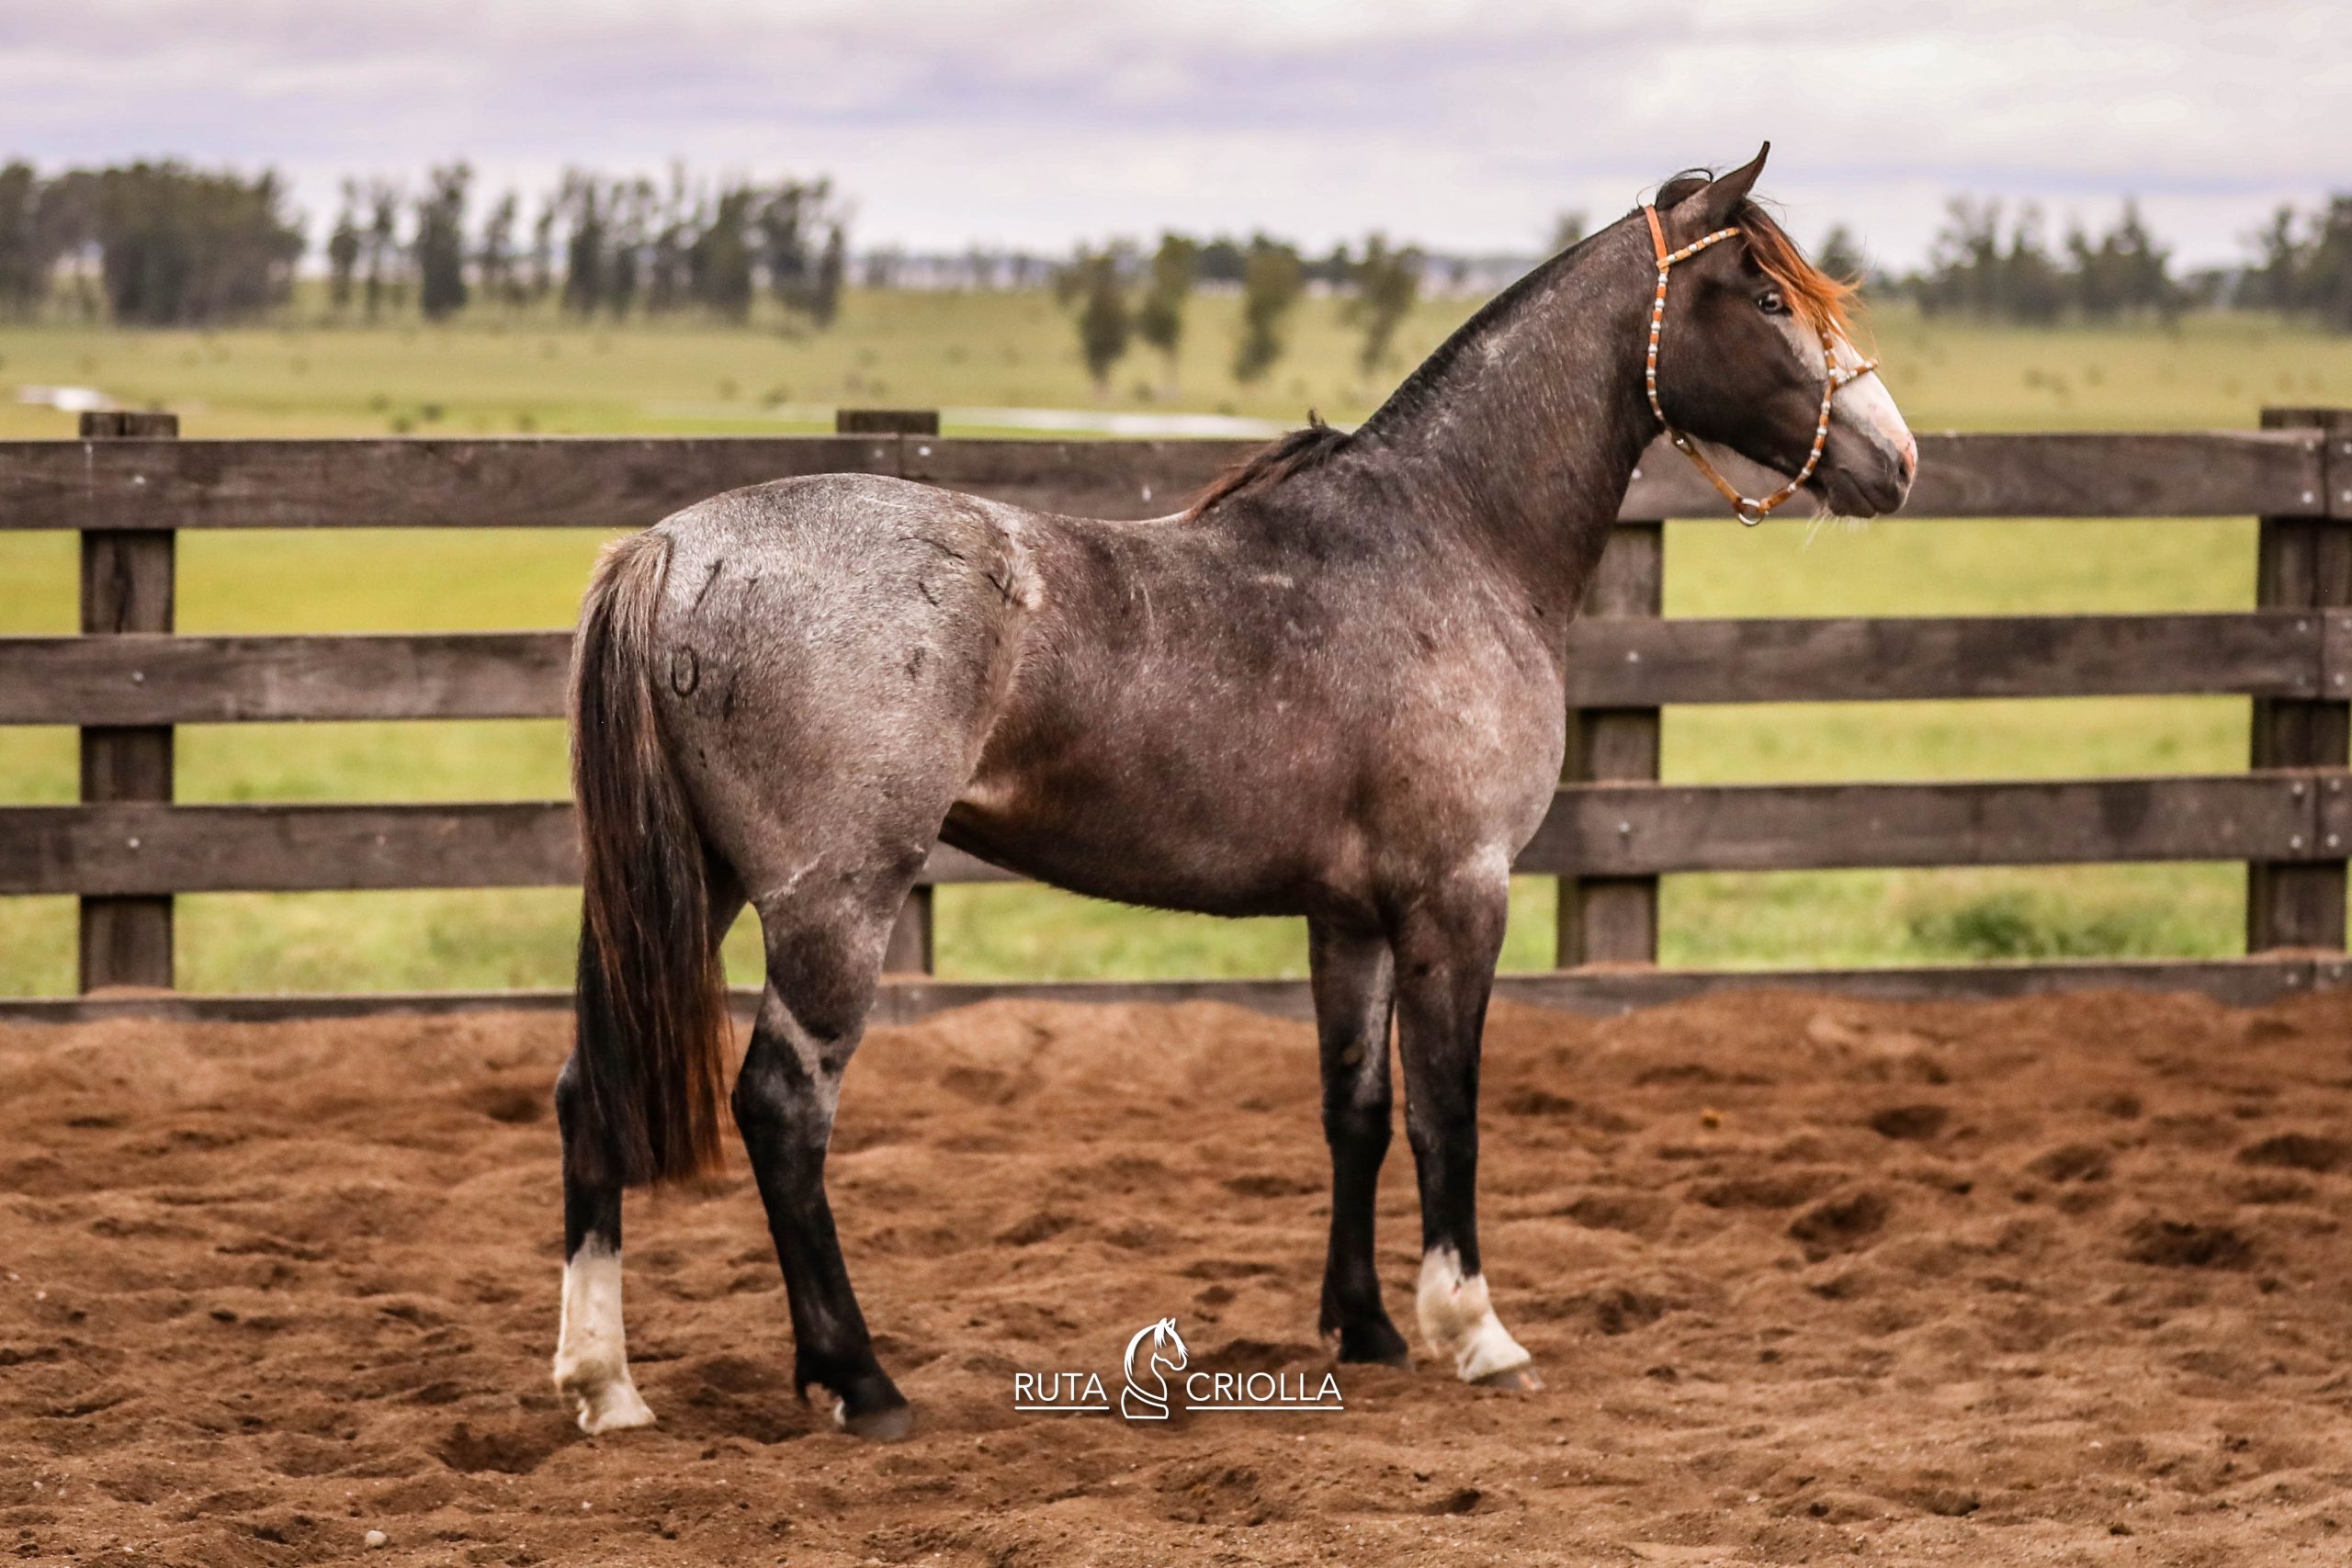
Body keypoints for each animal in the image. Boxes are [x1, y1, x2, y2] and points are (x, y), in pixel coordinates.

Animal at [550, 143, 1916, 1441]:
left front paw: (1365, 1327)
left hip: (697, 889)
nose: (1895, 462)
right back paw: (859, 1380)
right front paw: (1477, 1334)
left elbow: (1357, 1110)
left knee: (590, 1093)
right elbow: (1450, 1115)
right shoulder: (1458, 898)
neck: (1448, 541)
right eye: (1765, 296)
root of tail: (672, 547)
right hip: (833, 906)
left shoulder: (1349, 917)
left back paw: (606, 1384)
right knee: (784, 1110)